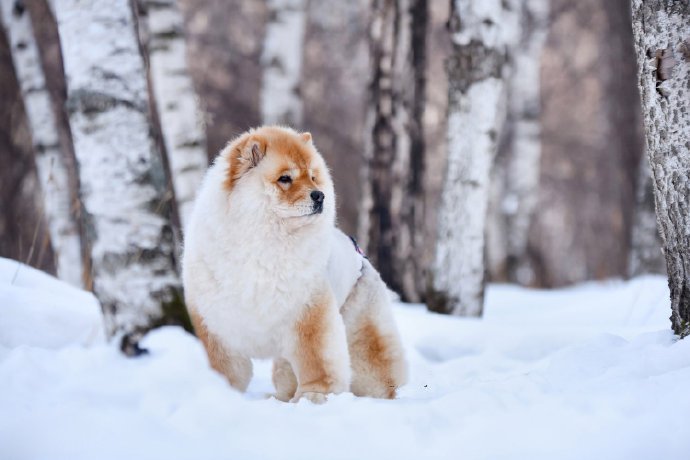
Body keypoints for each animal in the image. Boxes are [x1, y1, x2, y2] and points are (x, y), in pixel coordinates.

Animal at [184, 126, 408, 402]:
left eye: (312, 177)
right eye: (285, 178)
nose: (320, 195)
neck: (266, 241)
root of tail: (360, 253)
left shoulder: (307, 311)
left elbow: (317, 360)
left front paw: (314, 396)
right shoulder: (215, 321)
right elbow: (225, 367)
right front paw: (221, 392)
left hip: (360, 327)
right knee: (285, 373)